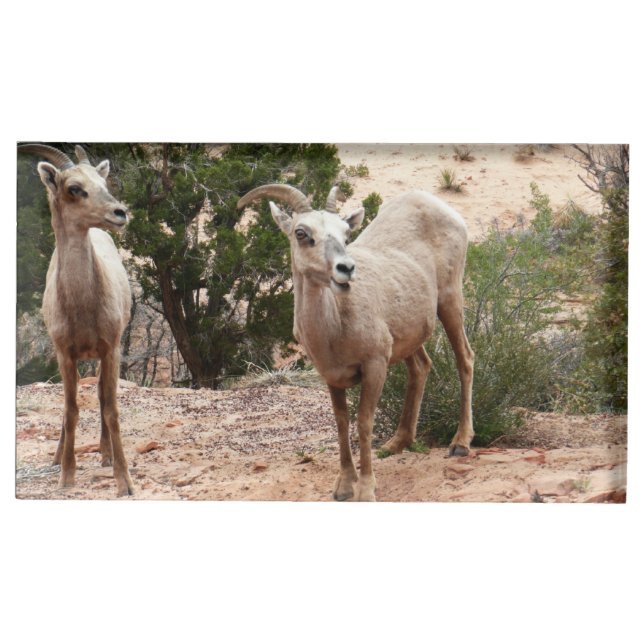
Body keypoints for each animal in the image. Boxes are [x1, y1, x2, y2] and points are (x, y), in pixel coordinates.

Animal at [18, 144, 134, 496]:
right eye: (74, 188)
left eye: (102, 180)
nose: (120, 213)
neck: (82, 307)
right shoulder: (64, 353)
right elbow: (70, 410)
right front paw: (66, 476)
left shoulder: (111, 348)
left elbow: (110, 408)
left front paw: (124, 481)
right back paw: (58, 457)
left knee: (101, 396)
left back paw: (106, 454)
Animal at [238, 184, 474, 501]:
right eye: (301, 232)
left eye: (345, 234)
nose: (346, 269)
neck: (334, 329)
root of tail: (435, 203)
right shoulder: (331, 377)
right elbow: (342, 423)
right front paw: (343, 487)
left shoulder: (375, 366)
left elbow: (364, 422)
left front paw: (366, 490)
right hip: (408, 335)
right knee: (421, 367)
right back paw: (396, 444)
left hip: (450, 300)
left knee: (465, 359)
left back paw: (460, 443)